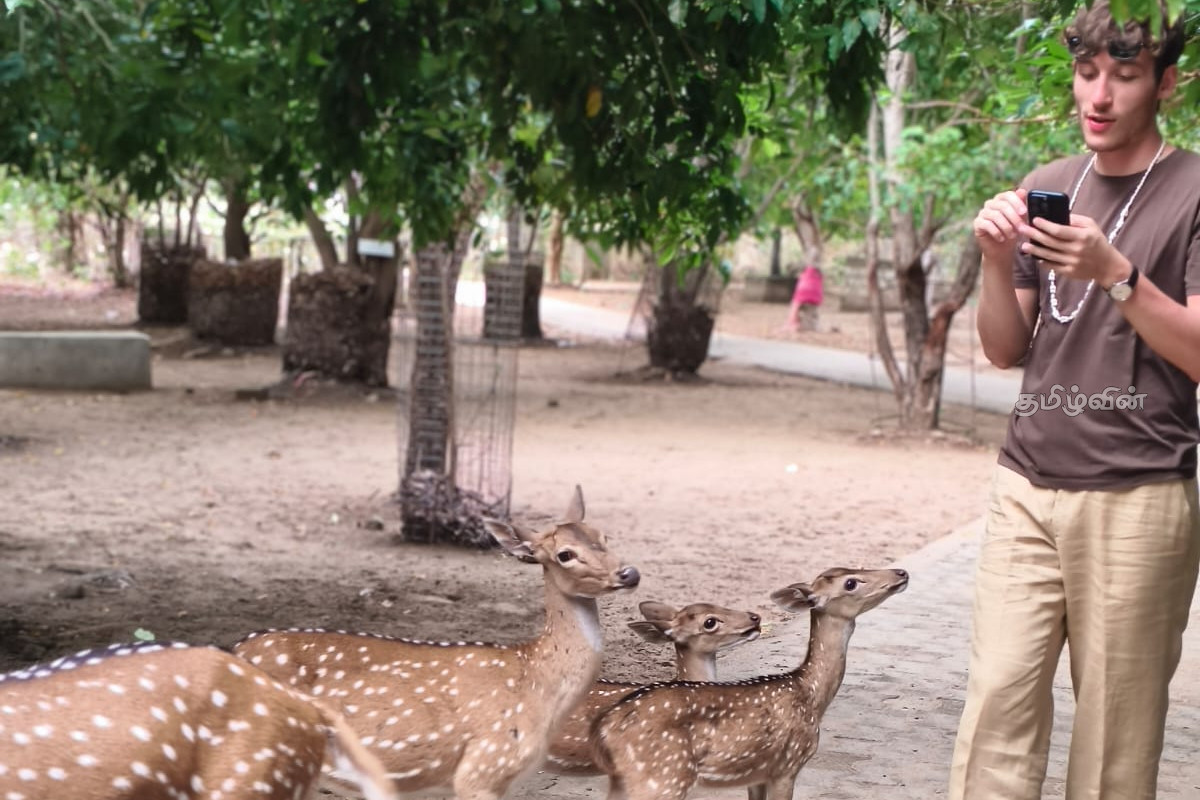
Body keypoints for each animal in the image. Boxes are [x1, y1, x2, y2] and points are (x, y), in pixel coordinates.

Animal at [231, 484, 640, 799]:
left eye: (604, 536)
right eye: (564, 554)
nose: (630, 573)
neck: (536, 682)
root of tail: (235, 648)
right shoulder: (482, 766)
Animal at [592, 566, 909, 800]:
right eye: (851, 582)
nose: (901, 572)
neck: (810, 695)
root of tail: (605, 729)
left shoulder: (758, 772)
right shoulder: (787, 764)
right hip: (663, 777)